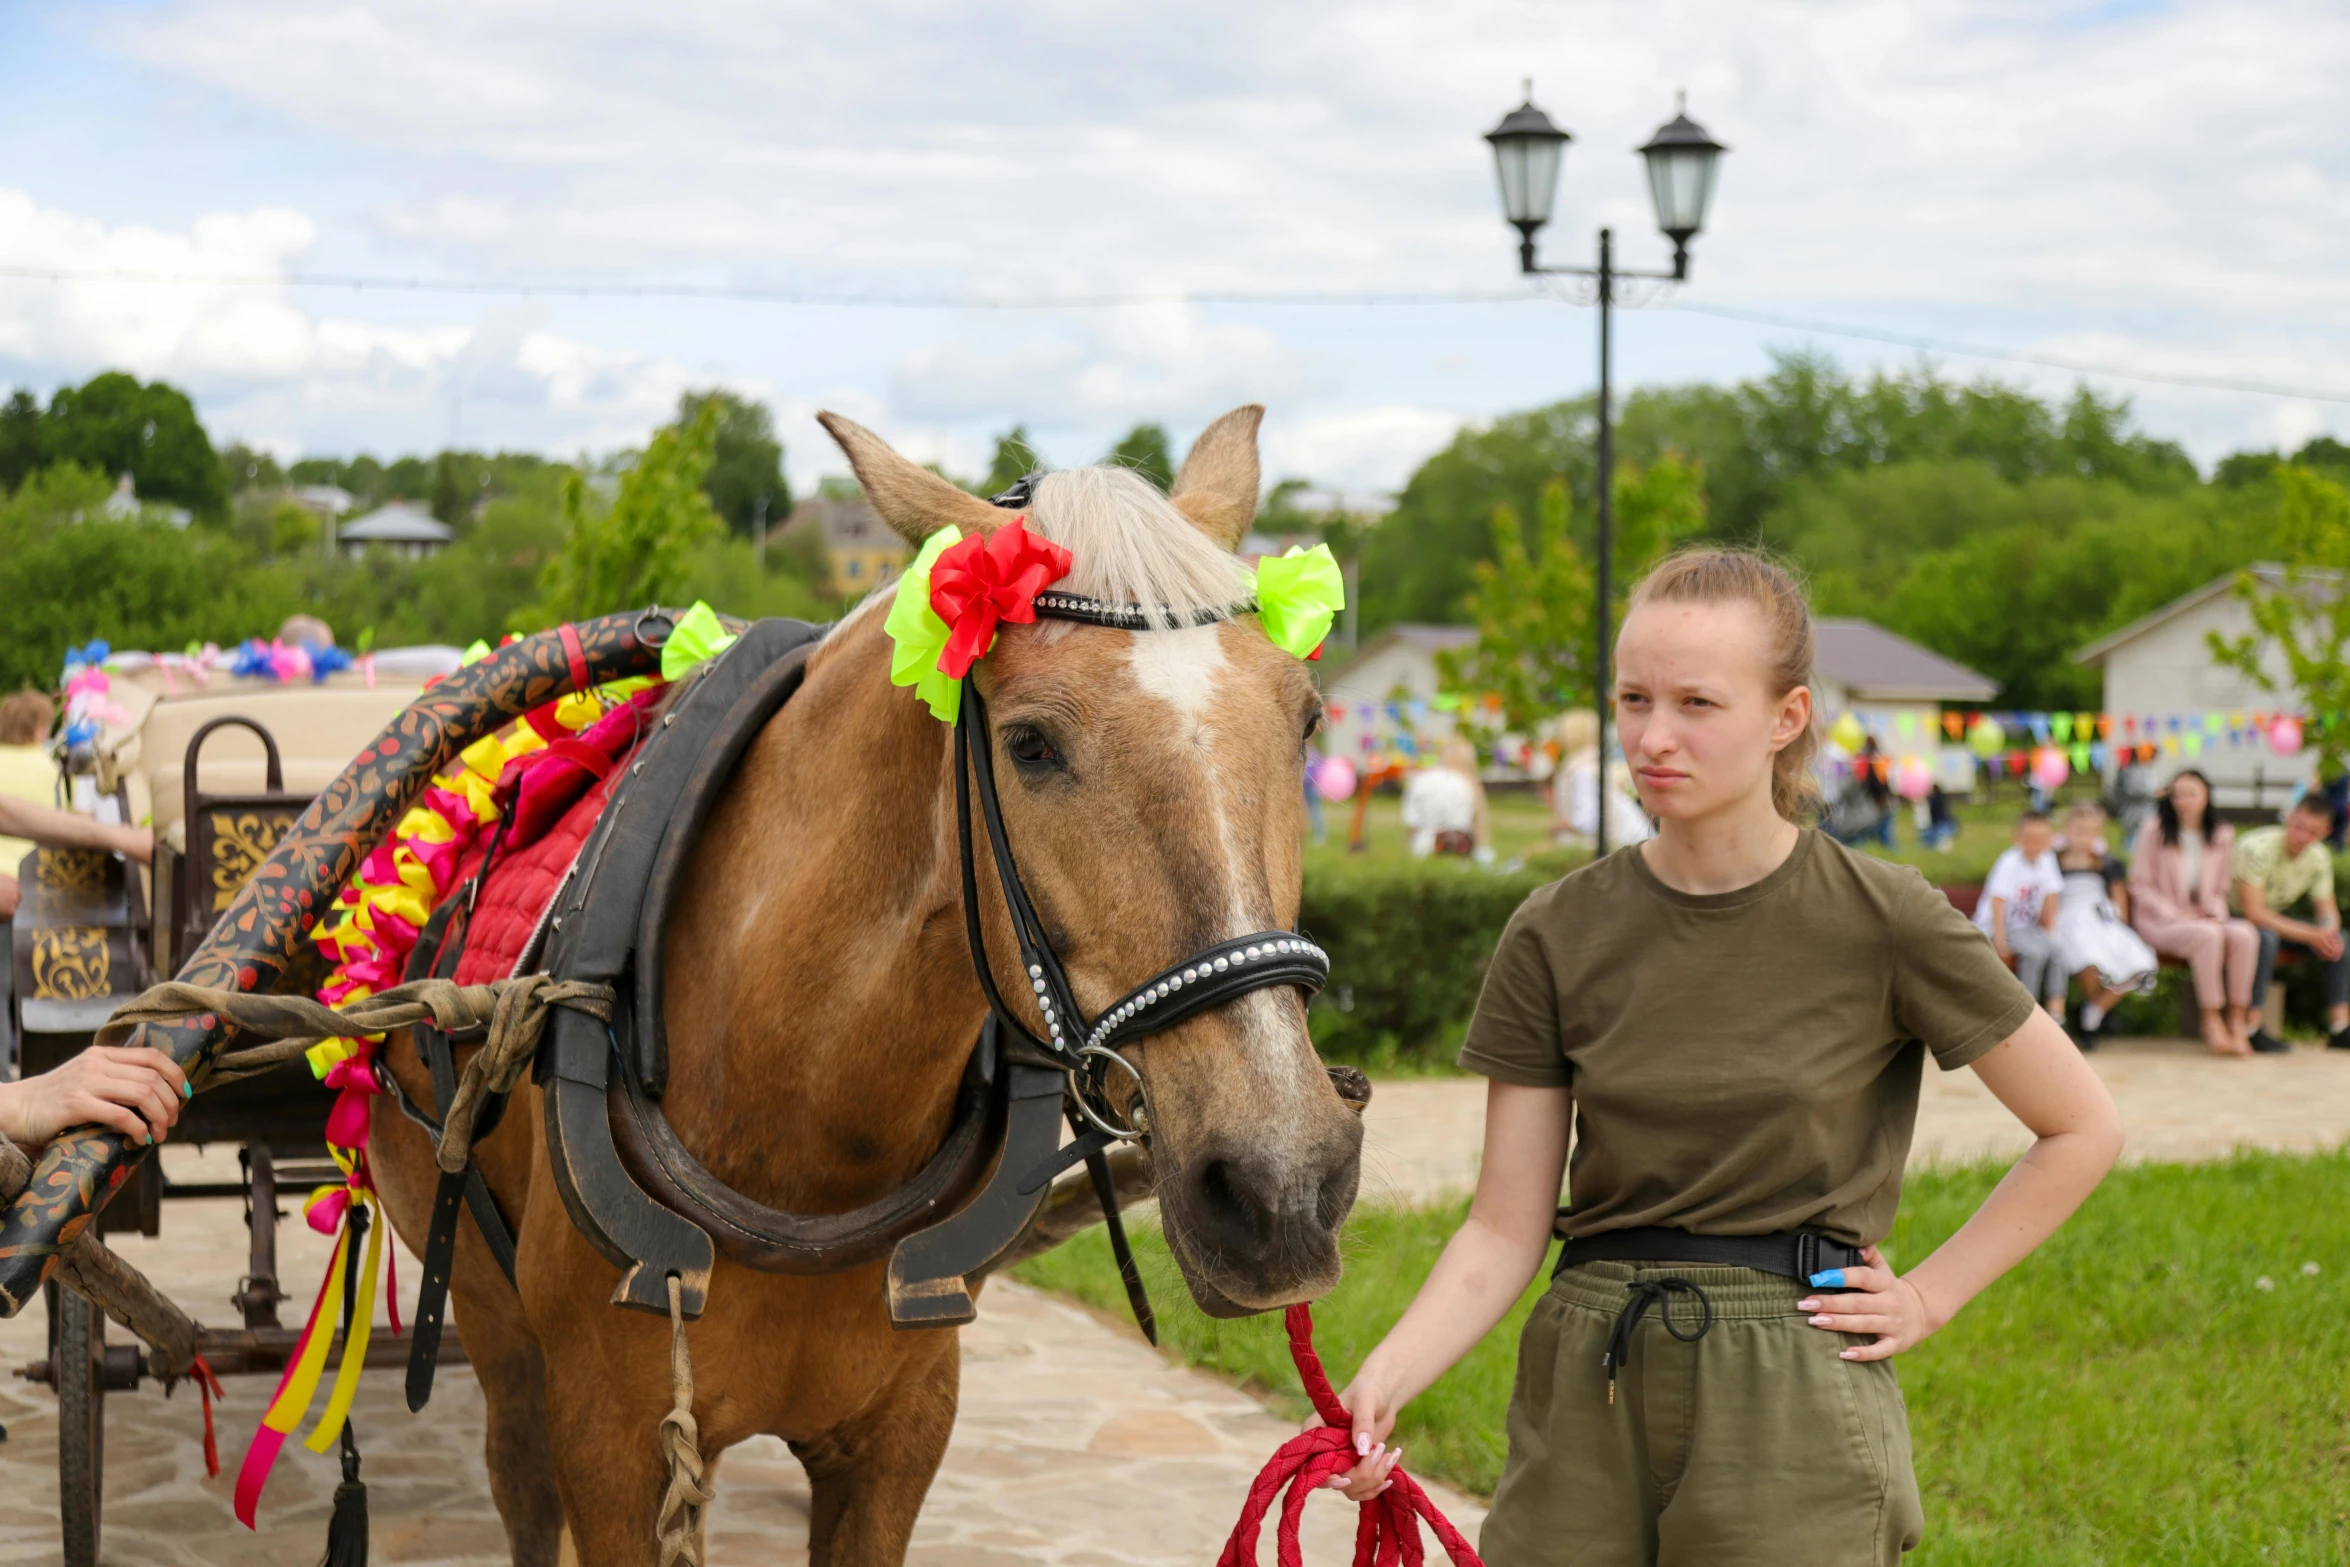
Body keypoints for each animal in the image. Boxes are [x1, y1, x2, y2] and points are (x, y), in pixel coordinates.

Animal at [361, 408, 1363, 1567]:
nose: (1283, 1181)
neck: (805, 1124)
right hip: (498, 1333)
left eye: (1304, 720)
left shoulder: (901, 1430)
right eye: (1030, 744)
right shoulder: (605, 1438)